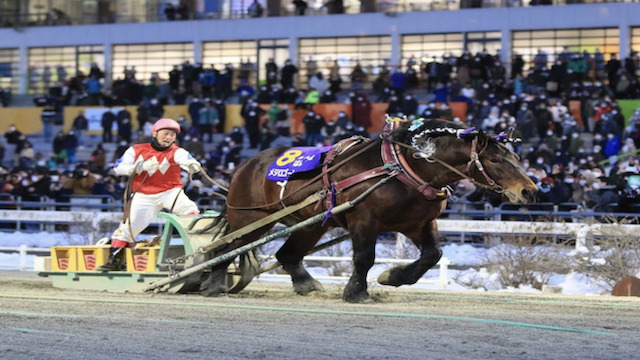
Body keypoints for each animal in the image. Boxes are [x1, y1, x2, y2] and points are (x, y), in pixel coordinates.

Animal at [201, 119, 540, 302]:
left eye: (515, 156)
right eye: (495, 159)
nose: (530, 191)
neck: (404, 167)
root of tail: (245, 165)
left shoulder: (419, 223)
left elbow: (433, 255)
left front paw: (394, 277)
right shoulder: (363, 219)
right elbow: (364, 257)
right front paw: (356, 292)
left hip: (312, 224)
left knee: (288, 255)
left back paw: (306, 284)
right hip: (250, 218)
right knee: (224, 249)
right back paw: (215, 284)